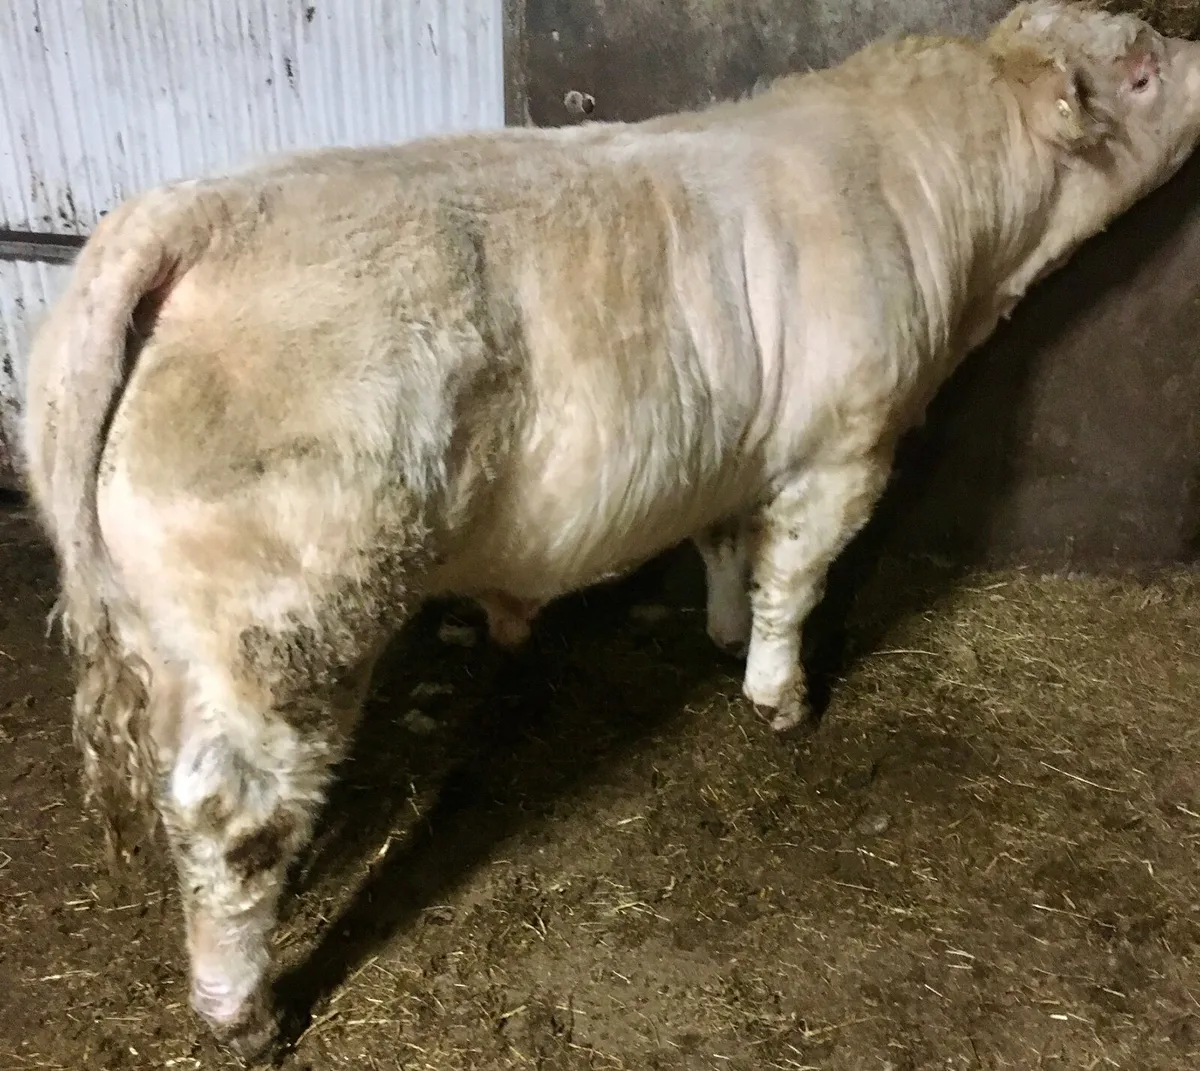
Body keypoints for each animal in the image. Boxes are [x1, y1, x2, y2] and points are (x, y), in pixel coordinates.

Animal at [19, 0, 1200, 1059]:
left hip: (172, 630)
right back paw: (246, 1013)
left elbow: (728, 549)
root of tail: (189, 215)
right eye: (1142, 67)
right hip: (288, 618)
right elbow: (797, 578)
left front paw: (723, 634)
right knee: (234, 811)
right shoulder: (844, 450)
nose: (1196, 58)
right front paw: (780, 695)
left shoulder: (737, 446)